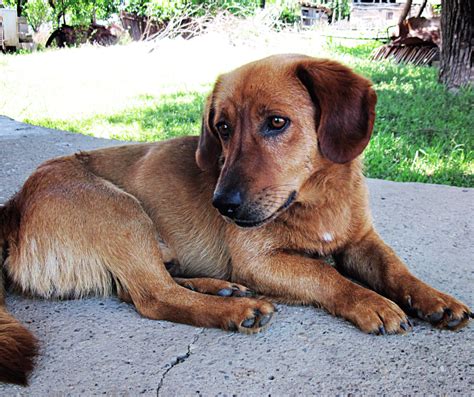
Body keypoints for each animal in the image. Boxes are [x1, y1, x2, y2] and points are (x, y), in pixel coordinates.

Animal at [0, 53, 470, 384]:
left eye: (277, 122)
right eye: (222, 127)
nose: (221, 204)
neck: (317, 200)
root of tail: (13, 208)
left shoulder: (361, 241)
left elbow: (396, 268)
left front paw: (434, 299)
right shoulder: (259, 262)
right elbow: (327, 275)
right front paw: (370, 302)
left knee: (138, 288)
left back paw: (219, 288)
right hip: (123, 212)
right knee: (152, 296)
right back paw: (236, 308)